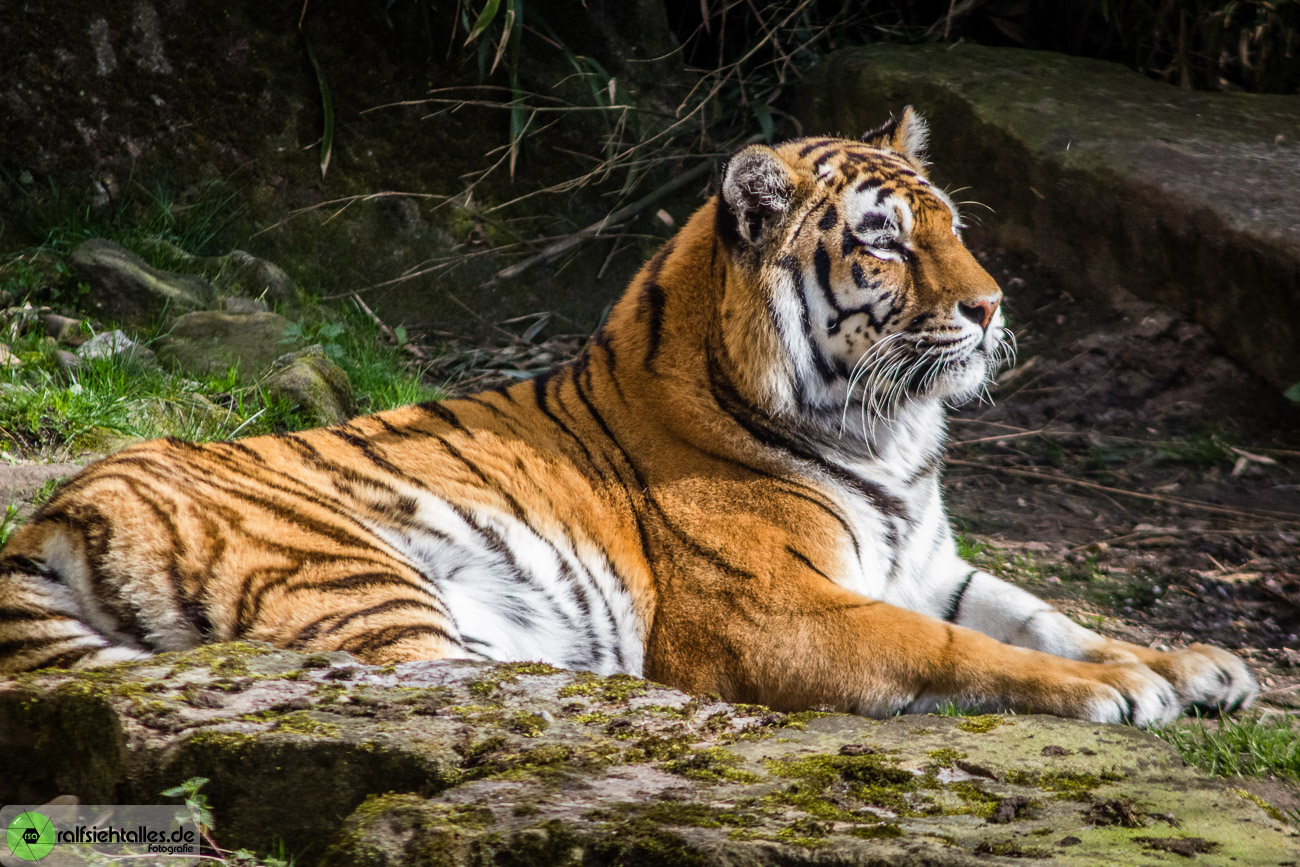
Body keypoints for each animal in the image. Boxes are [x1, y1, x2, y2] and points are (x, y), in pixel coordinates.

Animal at [0, 110, 1258, 727]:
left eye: (951, 225)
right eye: (886, 241)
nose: (993, 306)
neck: (890, 437)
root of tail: (56, 510)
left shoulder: (927, 563)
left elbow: (1046, 617)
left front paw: (1197, 666)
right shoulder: (778, 611)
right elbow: (954, 648)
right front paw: (1119, 691)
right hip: (354, 572)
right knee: (456, 684)